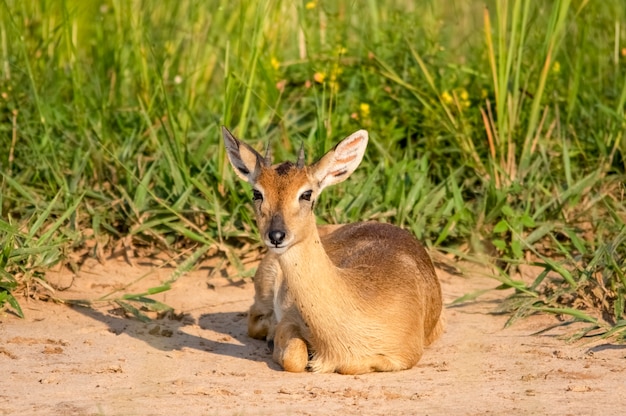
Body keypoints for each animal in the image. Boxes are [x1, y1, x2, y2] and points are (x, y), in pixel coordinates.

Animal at [222, 127, 442, 374]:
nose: (276, 235)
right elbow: (294, 359)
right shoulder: (290, 320)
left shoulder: (404, 356)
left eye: (306, 193)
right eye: (257, 193)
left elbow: (350, 366)